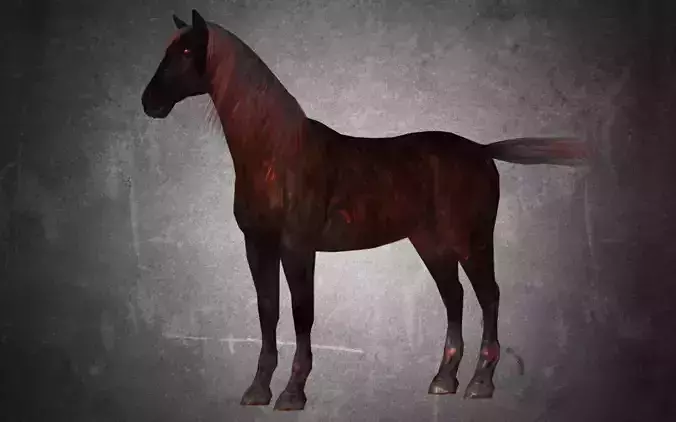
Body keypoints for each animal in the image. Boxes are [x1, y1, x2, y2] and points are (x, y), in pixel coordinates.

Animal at [141, 9, 587, 411]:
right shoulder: (257, 245)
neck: (277, 154)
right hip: (431, 244)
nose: (149, 102)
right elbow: (268, 310)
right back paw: (443, 380)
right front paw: (257, 391)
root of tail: (481, 150)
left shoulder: (297, 248)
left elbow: (302, 313)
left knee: (488, 296)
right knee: (455, 297)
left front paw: (293, 393)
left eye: (186, 50)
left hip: (471, 241)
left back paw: (480, 383)